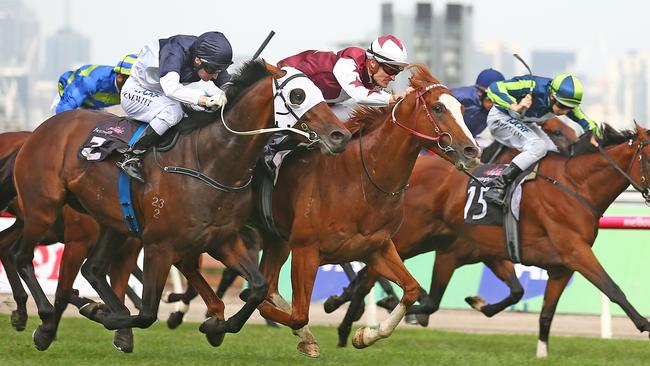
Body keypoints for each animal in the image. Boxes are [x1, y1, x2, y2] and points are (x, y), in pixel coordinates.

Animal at [8, 60, 350, 352]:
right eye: (297, 95)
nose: (340, 135)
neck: (210, 162)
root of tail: (44, 127)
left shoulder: (223, 239)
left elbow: (257, 286)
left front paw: (215, 327)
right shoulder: (159, 246)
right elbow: (148, 312)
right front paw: (102, 314)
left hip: (113, 222)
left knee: (91, 269)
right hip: (42, 208)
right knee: (20, 256)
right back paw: (45, 322)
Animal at [249, 63, 480, 358]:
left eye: (462, 109)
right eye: (438, 108)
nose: (472, 151)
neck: (357, 180)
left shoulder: (376, 247)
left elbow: (411, 289)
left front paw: (365, 335)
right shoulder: (305, 250)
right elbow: (297, 313)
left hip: (276, 240)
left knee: (271, 284)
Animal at [330, 121, 648, 356]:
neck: (576, 185)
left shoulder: (555, 266)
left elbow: (540, 309)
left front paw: (539, 349)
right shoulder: (576, 252)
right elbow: (613, 288)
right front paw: (644, 324)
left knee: (368, 275)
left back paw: (347, 324)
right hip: (408, 240)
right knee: (369, 275)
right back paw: (351, 320)